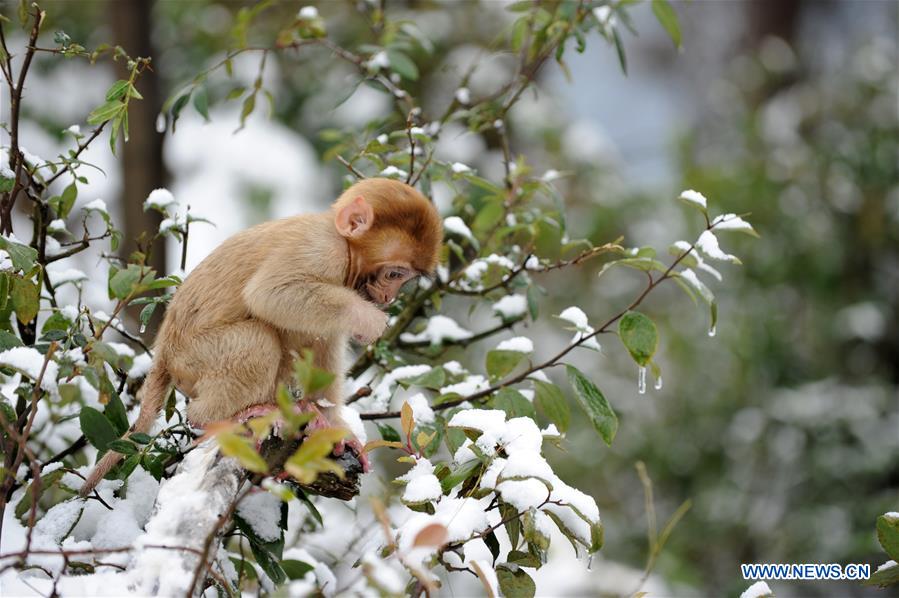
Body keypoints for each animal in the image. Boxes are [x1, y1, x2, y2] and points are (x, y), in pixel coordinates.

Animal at [79, 178, 444, 496]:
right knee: (258, 339)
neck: (343, 242)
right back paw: (219, 418)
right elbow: (269, 295)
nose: (390, 298)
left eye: (403, 280)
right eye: (394, 274)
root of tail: (163, 353)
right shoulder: (324, 252)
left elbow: (323, 340)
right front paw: (369, 318)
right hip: (192, 357)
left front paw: (332, 424)